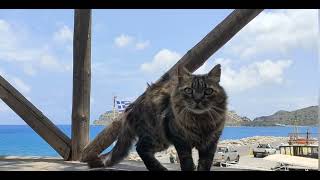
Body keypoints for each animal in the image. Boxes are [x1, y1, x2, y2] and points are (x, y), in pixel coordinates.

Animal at [87, 64, 228, 171]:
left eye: (208, 91)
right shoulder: (181, 141)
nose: (198, 99)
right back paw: (160, 169)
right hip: (157, 135)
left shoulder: (211, 143)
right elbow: (187, 163)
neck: (200, 121)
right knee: (140, 148)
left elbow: (205, 165)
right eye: (188, 90)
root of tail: (133, 106)